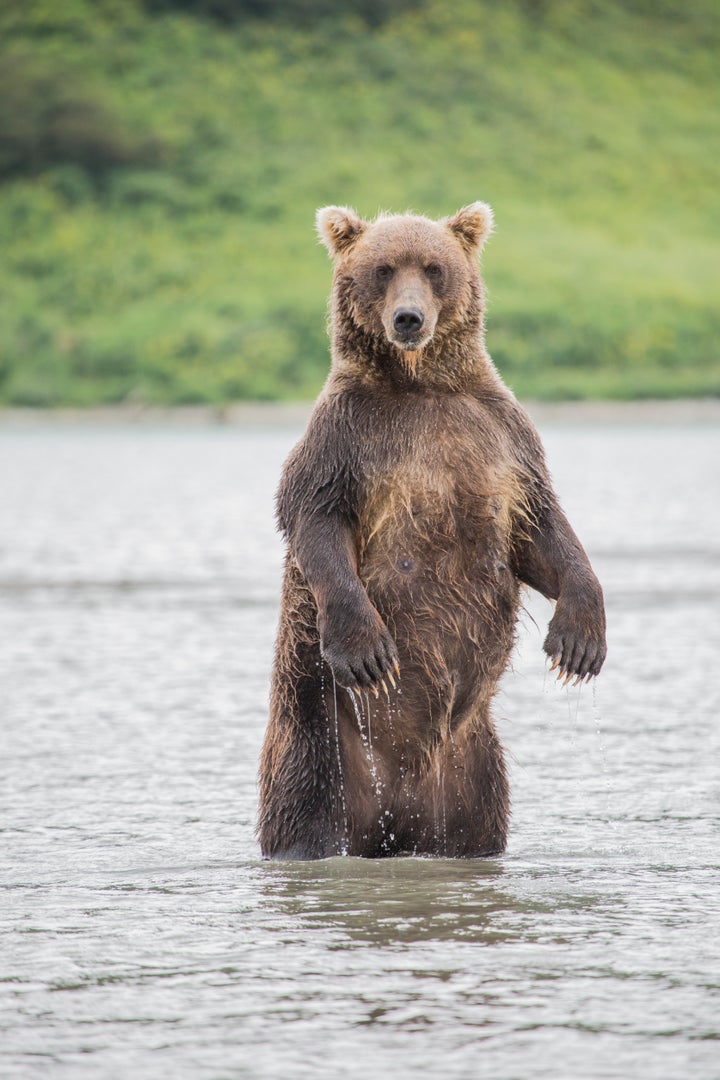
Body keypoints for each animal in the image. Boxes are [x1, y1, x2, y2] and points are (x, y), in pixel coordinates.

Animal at [255, 200, 604, 859]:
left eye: (434, 267)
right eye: (383, 268)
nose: (409, 318)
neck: (421, 384)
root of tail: (401, 812)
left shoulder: (501, 436)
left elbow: (542, 531)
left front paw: (578, 641)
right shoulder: (347, 439)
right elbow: (314, 516)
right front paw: (367, 650)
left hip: (474, 773)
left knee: (481, 821)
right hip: (321, 743)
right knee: (303, 818)